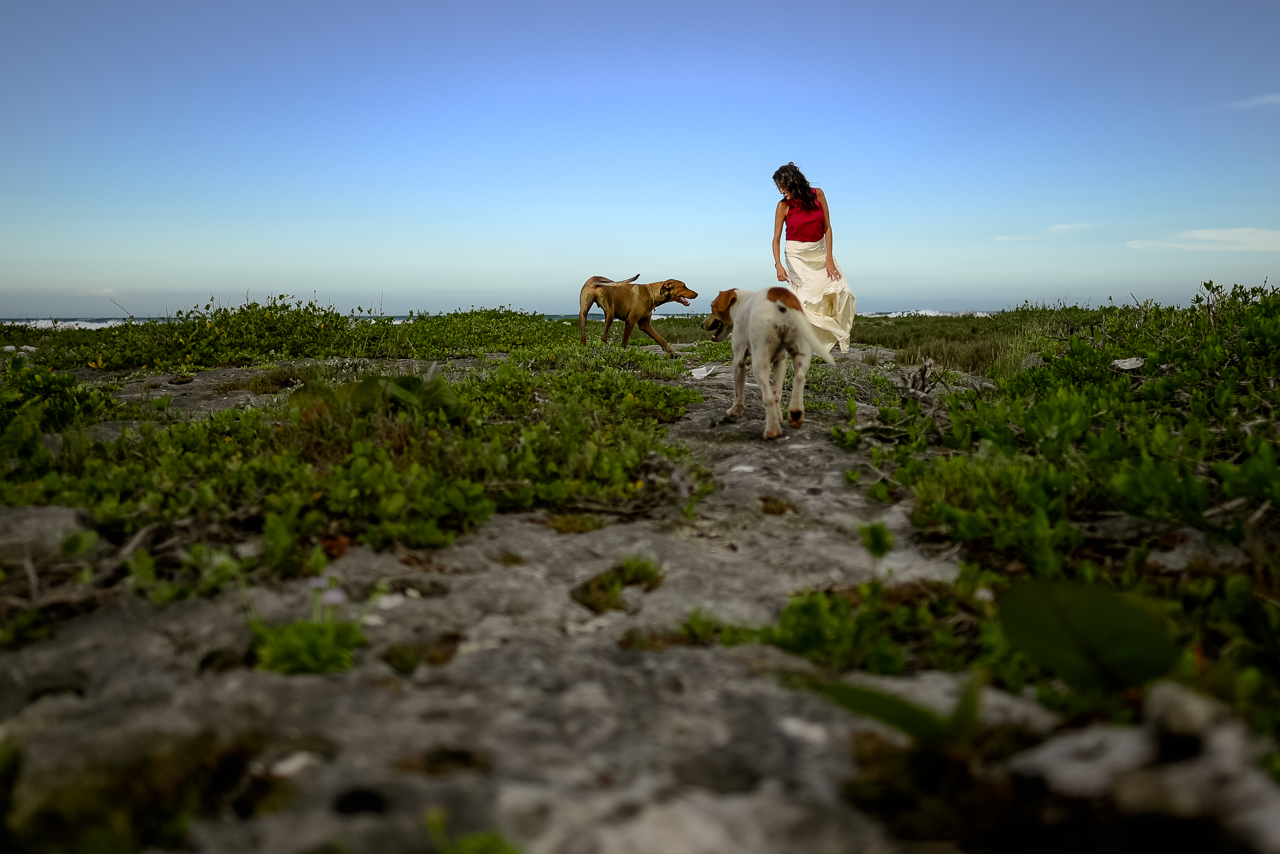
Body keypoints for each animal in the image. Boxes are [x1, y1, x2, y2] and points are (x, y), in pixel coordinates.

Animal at [696, 286, 834, 440]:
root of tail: (779, 294)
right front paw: (779, 416)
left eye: (712, 306)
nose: (702, 324)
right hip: (801, 351)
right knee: (798, 379)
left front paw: (735, 411)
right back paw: (795, 414)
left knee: (768, 397)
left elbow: (738, 392)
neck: (741, 302)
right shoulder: (780, 361)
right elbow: (777, 393)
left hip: (760, 362)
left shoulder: (739, 360)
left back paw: (772, 431)